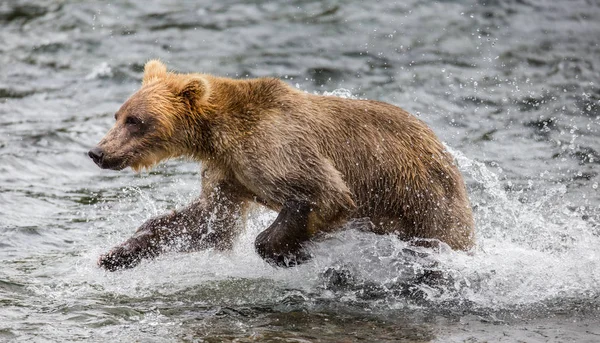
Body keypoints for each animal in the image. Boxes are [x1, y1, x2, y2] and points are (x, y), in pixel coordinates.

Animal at [88, 60, 474, 272]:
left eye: (136, 121)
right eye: (118, 115)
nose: (97, 151)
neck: (216, 137)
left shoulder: (273, 145)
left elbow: (322, 192)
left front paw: (290, 255)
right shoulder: (229, 173)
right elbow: (210, 223)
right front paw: (116, 254)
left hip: (422, 197)